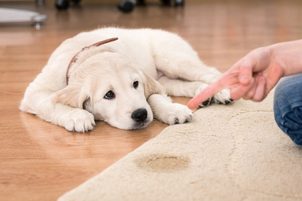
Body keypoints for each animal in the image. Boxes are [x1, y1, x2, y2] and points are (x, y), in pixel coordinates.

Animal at [18, 27, 231, 133]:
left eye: (135, 84)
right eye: (108, 95)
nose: (140, 115)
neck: (88, 54)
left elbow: (153, 97)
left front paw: (172, 110)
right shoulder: (35, 92)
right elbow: (50, 103)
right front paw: (77, 116)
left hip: (174, 59)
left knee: (210, 72)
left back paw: (220, 91)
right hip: (167, 77)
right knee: (184, 85)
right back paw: (204, 94)